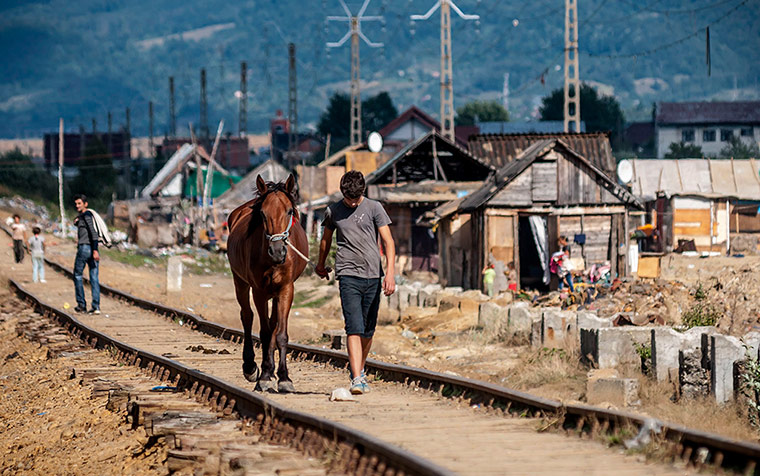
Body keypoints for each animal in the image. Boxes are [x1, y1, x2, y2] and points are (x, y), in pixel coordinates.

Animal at [227, 173, 308, 392]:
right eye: (262, 214)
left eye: (289, 211)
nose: (277, 251)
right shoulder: (259, 291)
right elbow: (263, 333)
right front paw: (263, 376)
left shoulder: (286, 289)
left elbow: (280, 334)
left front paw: (284, 377)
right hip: (239, 281)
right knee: (247, 316)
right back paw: (251, 367)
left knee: (273, 324)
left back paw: (271, 370)